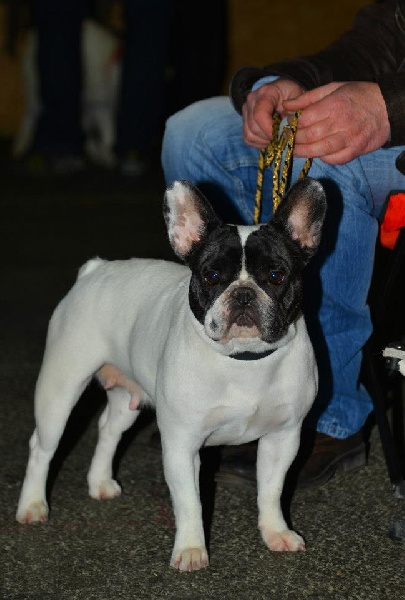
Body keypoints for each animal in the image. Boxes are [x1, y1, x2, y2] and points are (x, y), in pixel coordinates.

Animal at [16, 177, 327, 571]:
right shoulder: (181, 444)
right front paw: (192, 550)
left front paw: (276, 532)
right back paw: (32, 505)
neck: (244, 360)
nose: (243, 294)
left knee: (108, 429)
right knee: (42, 447)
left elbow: (272, 490)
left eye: (276, 275)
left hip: (127, 397)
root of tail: (95, 270)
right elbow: (189, 502)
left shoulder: (283, 438)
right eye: (211, 275)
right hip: (60, 390)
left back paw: (100, 483)